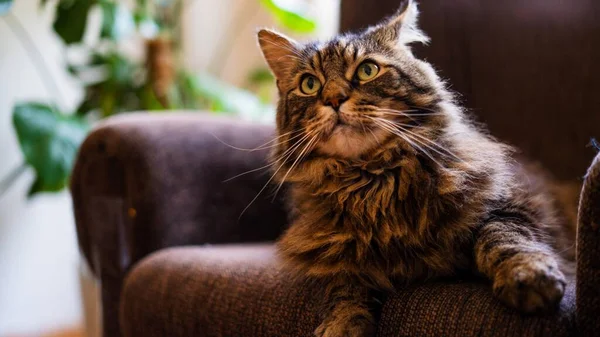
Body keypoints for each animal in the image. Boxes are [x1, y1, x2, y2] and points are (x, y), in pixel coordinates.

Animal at [255, 1, 576, 334]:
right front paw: (341, 325)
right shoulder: (338, 253)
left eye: (367, 70)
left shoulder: (512, 208)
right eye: (309, 84)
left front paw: (529, 277)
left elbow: (504, 239)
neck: (371, 181)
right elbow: (344, 290)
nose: (334, 99)